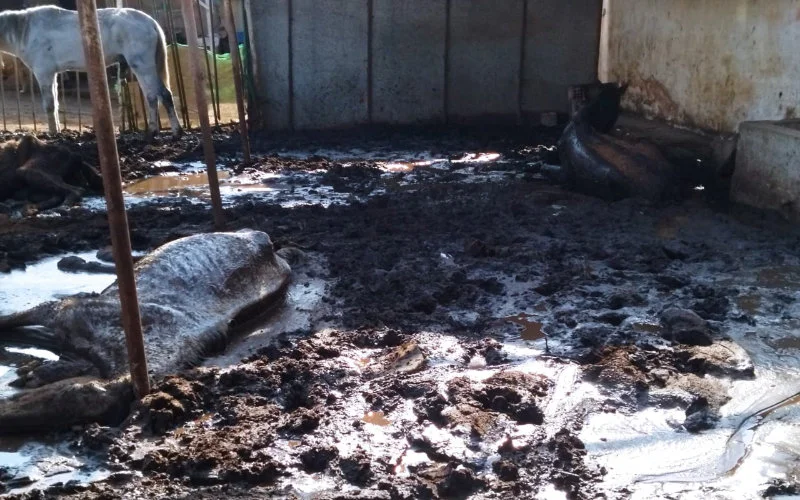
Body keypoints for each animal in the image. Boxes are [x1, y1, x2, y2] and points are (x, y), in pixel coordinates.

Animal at [0, 5, 182, 142]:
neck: (25, 31)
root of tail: (150, 22)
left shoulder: (44, 72)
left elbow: (49, 105)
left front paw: (52, 134)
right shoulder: (52, 74)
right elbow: (55, 104)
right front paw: (57, 130)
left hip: (143, 66)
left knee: (160, 95)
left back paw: (173, 132)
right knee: (154, 96)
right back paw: (155, 132)